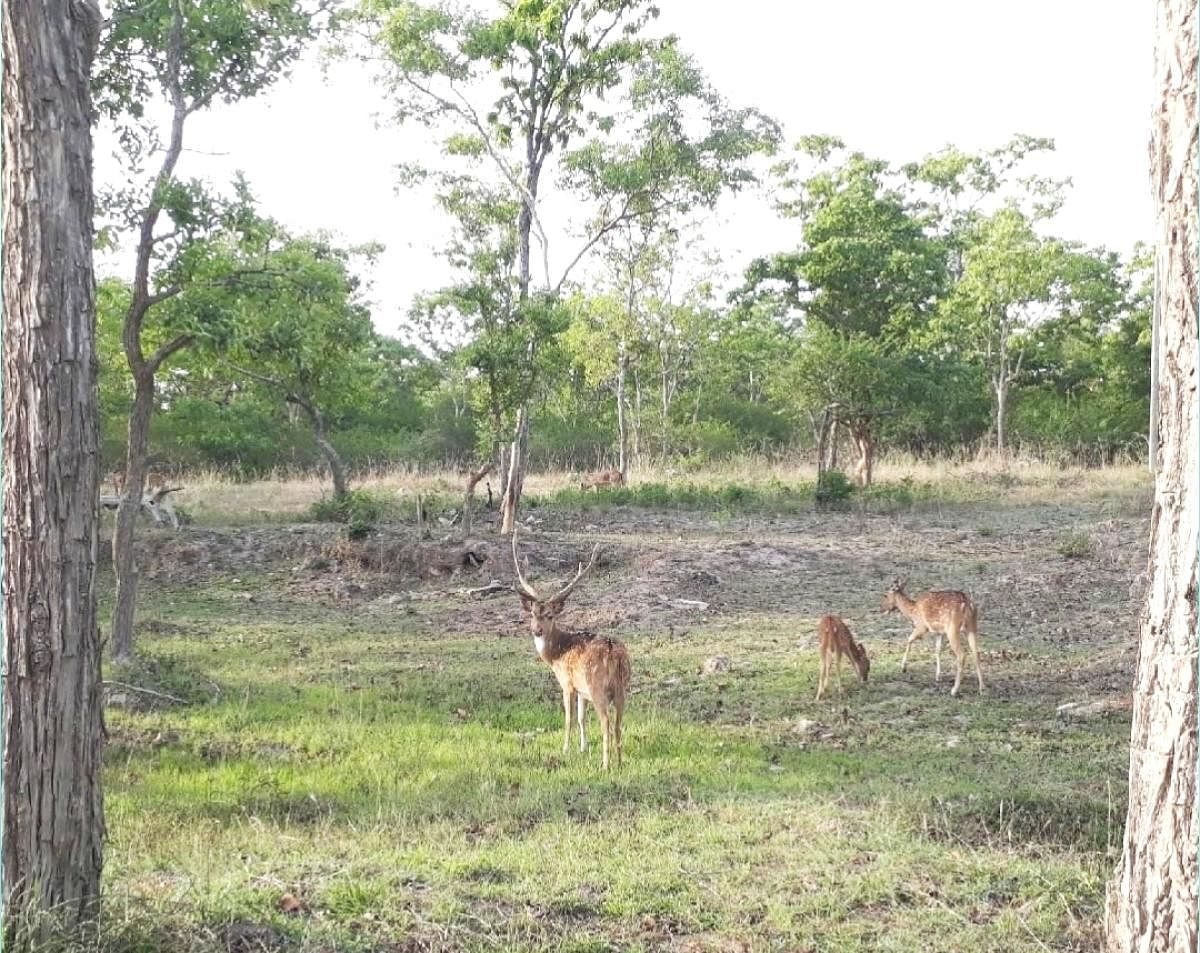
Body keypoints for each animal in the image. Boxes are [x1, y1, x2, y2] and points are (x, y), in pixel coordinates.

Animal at [511, 530, 633, 768]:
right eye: (533, 614)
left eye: (550, 615)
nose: (536, 630)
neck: (556, 655)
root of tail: (614, 653)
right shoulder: (582, 689)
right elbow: (581, 718)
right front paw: (583, 748)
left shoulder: (567, 683)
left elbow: (568, 718)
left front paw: (566, 749)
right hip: (622, 688)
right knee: (618, 724)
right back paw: (620, 761)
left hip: (598, 688)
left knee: (606, 723)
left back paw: (605, 765)